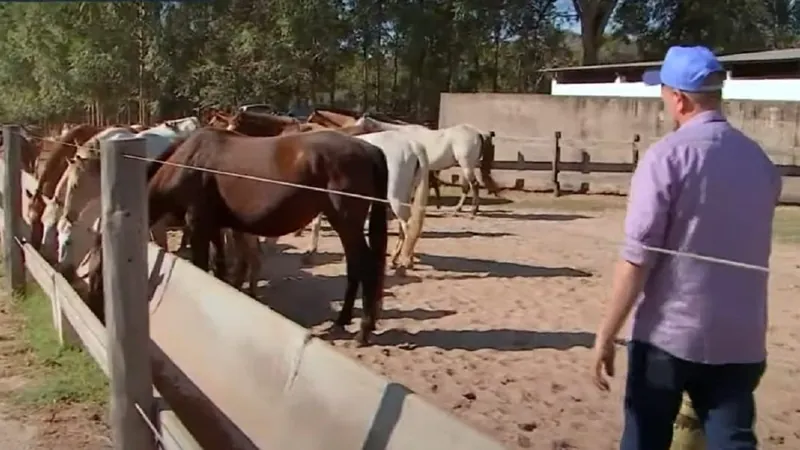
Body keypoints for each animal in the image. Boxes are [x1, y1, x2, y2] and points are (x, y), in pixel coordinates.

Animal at [147, 128, 390, 346]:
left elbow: (202, 266)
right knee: (355, 267)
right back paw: (343, 320)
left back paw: (362, 333)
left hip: (347, 224)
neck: (188, 161)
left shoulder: (198, 224)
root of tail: (369, 149)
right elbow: (219, 267)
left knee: (366, 268)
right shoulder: (215, 227)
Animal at [300, 128, 428, 272]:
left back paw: (406, 261)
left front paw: (311, 252)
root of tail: (412, 145)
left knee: (408, 226)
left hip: (395, 197)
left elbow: (316, 223)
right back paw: (395, 259)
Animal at [358, 115, 500, 215]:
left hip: (466, 165)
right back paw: (459, 209)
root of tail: (478, 133)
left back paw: (473, 210)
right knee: (466, 187)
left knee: (474, 185)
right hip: (467, 166)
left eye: (359, 125)